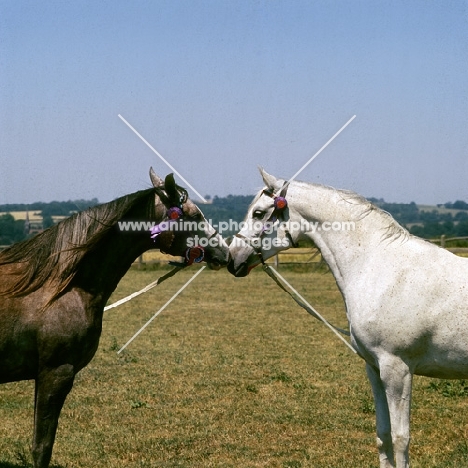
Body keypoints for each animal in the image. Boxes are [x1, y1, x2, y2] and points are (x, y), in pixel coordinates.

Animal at [0, 169, 229, 468]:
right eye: (194, 216)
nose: (225, 253)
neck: (59, 288)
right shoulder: (56, 373)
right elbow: (42, 447)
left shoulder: (44, 375)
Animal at [228, 168, 468, 468]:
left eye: (259, 213)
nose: (231, 259)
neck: (380, 267)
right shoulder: (375, 368)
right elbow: (383, 434)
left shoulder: (397, 370)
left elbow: (401, 439)